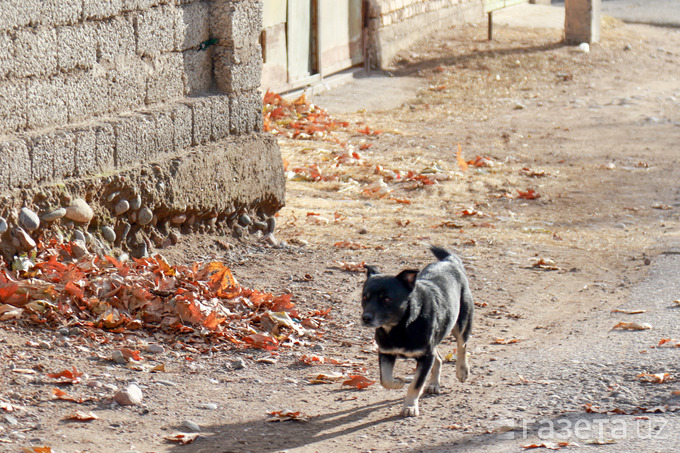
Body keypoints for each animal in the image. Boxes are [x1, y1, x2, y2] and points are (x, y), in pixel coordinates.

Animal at [362, 245, 472, 414]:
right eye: (365, 297)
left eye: (387, 298)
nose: (365, 318)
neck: (401, 327)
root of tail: (449, 261)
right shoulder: (386, 352)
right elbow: (385, 379)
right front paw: (398, 382)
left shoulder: (425, 356)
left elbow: (416, 384)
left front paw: (410, 406)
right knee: (439, 358)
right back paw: (434, 384)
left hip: (462, 322)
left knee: (462, 345)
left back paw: (462, 370)